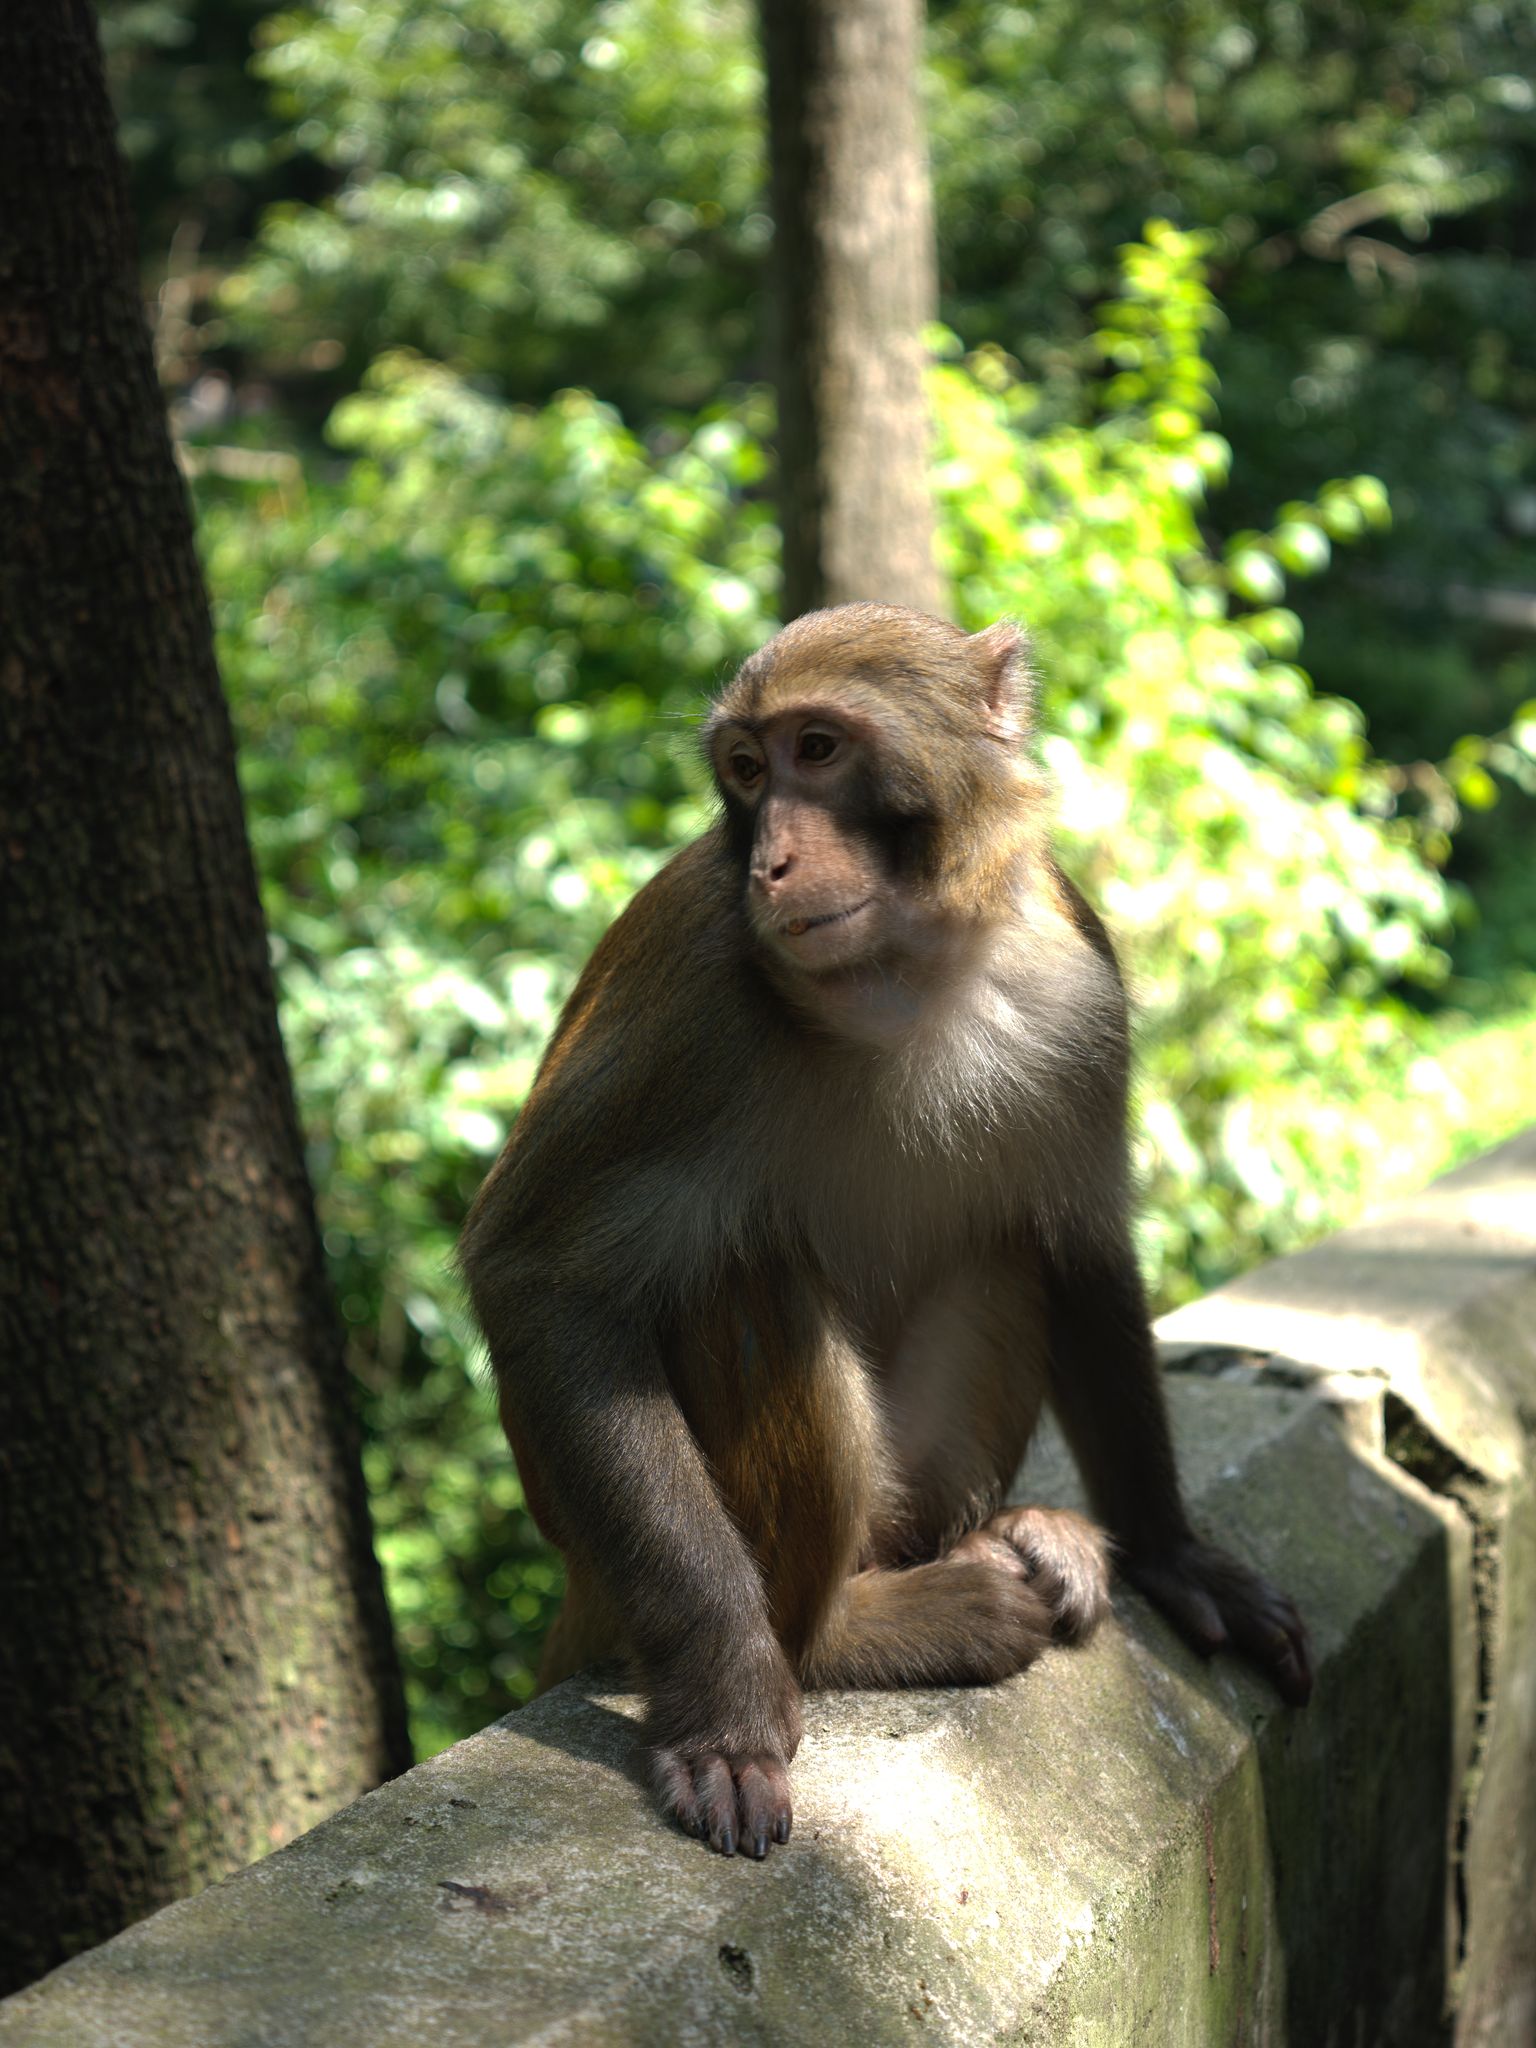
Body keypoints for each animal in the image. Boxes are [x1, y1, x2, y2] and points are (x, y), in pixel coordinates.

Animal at [460, 598, 1310, 1867]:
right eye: (747, 771)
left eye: (817, 749)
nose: (770, 858)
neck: (899, 976)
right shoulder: (696, 992)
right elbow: (538, 1275)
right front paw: (729, 1698)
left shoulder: (1078, 973)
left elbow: (1081, 1246)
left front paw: (1172, 1551)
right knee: (741, 1273)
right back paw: (849, 1632)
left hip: (915, 1486)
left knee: (1005, 1245)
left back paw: (1019, 1533)